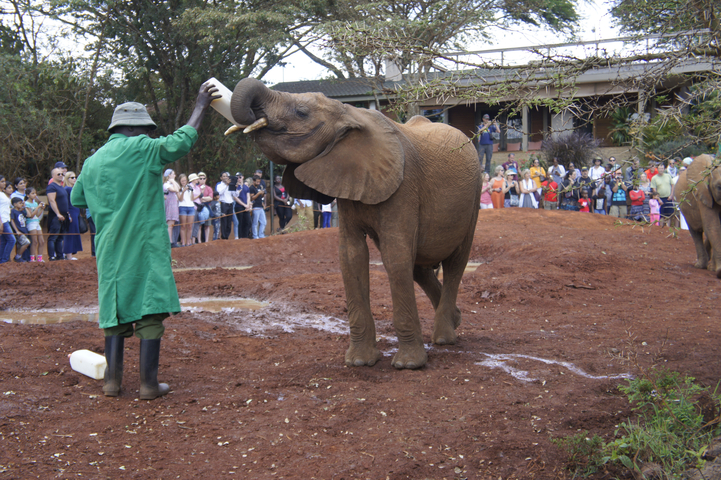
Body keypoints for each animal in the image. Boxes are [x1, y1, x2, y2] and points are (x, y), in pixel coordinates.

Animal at [228, 78, 481, 369]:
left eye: (301, 112)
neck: (349, 114)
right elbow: (352, 256)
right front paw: (360, 361)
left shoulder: (404, 187)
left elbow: (395, 256)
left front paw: (408, 365)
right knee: (419, 266)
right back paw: (455, 319)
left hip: (474, 195)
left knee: (455, 263)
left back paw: (444, 338)